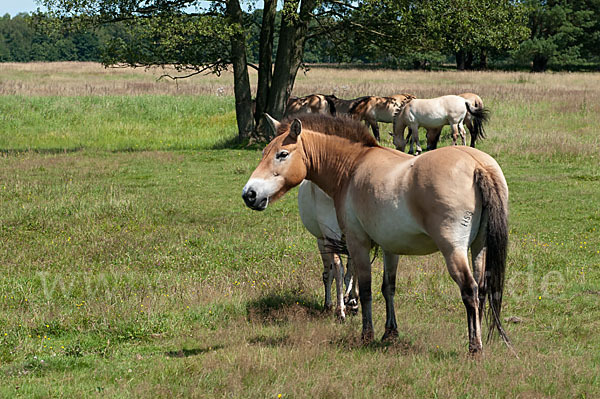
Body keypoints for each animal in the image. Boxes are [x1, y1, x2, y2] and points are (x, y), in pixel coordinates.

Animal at [243, 114, 510, 354]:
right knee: (483, 288)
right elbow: (388, 288)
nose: (249, 194)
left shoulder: (357, 243)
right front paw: (390, 332)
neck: (353, 165)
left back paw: (474, 347)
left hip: (453, 250)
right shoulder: (390, 246)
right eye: (264, 152)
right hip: (479, 247)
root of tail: (477, 164)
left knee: (470, 290)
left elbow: (365, 289)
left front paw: (366, 334)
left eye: (282, 154)